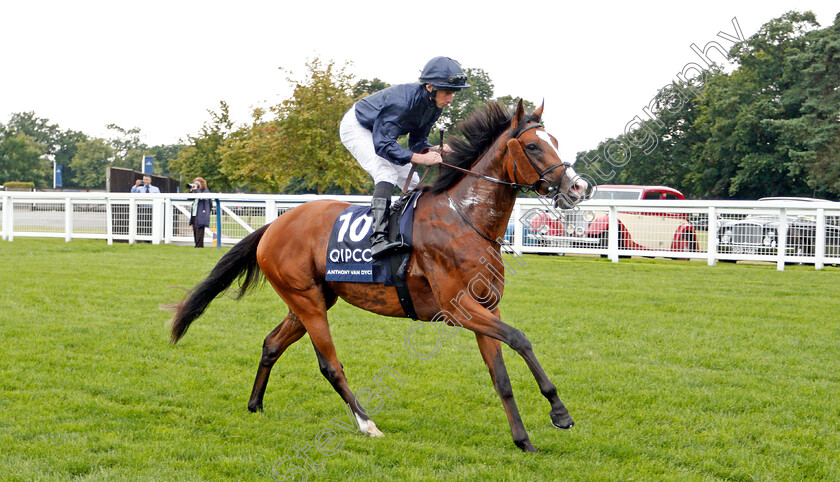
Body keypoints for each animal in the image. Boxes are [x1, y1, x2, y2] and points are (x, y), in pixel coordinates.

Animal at [169, 99, 592, 452]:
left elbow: (501, 374)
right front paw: (559, 412)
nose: (578, 187)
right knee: (330, 364)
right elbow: (520, 339)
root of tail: (274, 224)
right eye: (534, 146)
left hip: (311, 299)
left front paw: (524, 439)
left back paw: (256, 404)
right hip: (306, 301)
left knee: (272, 344)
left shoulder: (487, 308)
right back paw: (367, 424)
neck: (464, 218)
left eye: (554, 140)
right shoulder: (459, 309)